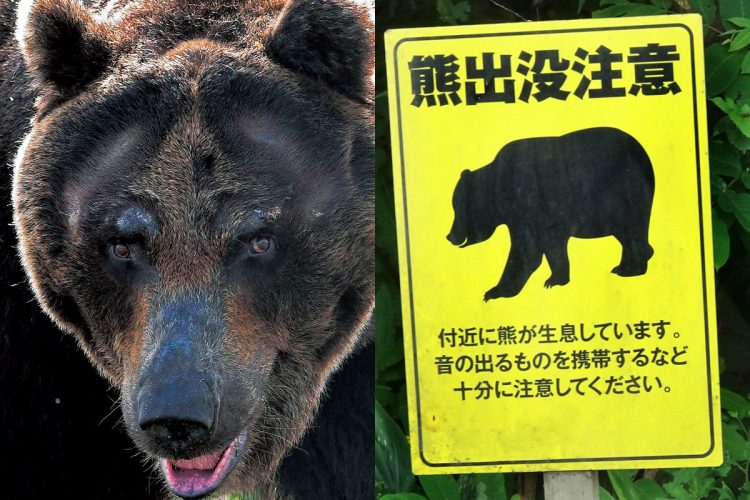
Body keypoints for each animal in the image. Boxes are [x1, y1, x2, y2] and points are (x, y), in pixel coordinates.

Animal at [447, 127, 654, 301]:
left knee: (633, 231)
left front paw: (494, 291)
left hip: (625, 195)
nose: (450, 236)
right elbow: (551, 247)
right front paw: (555, 279)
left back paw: (631, 269)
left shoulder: (529, 207)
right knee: (628, 236)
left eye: (459, 209)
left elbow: (527, 251)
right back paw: (624, 267)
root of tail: (642, 154)